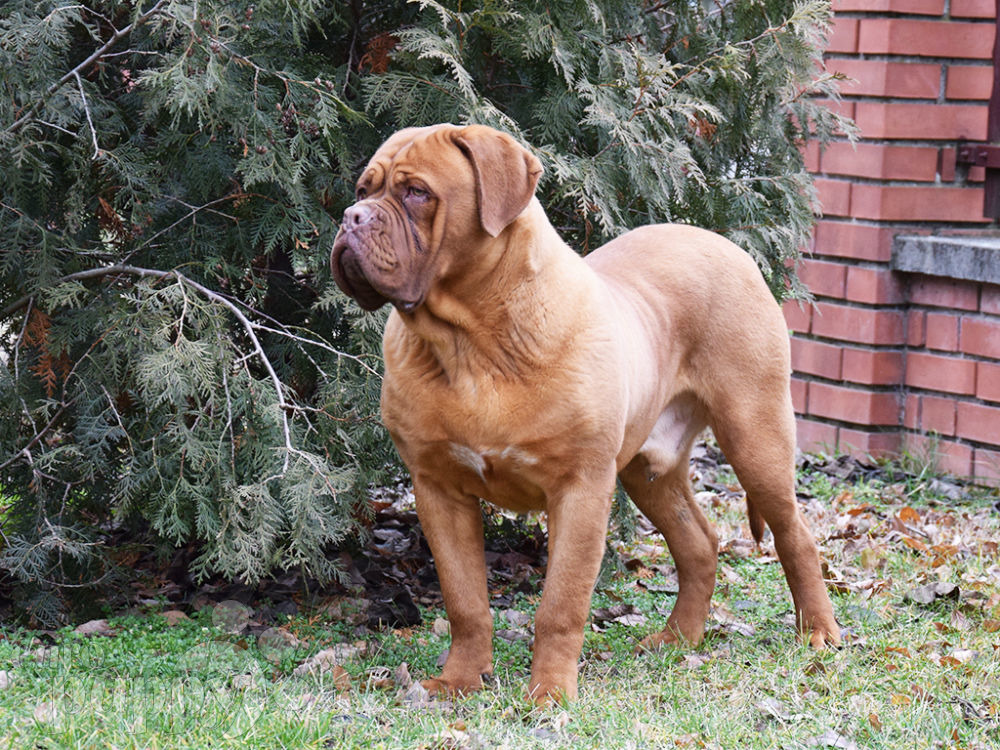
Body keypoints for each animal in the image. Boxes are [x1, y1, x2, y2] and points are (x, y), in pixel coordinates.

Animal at [332, 122, 840, 704]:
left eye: (417, 193)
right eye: (363, 190)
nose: (350, 217)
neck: (470, 343)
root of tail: (724, 244)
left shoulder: (579, 488)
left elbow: (561, 603)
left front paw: (550, 693)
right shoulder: (438, 488)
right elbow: (465, 600)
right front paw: (460, 680)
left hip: (755, 434)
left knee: (794, 534)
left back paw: (818, 632)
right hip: (648, 471)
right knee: (699, 545)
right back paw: (677, 639)